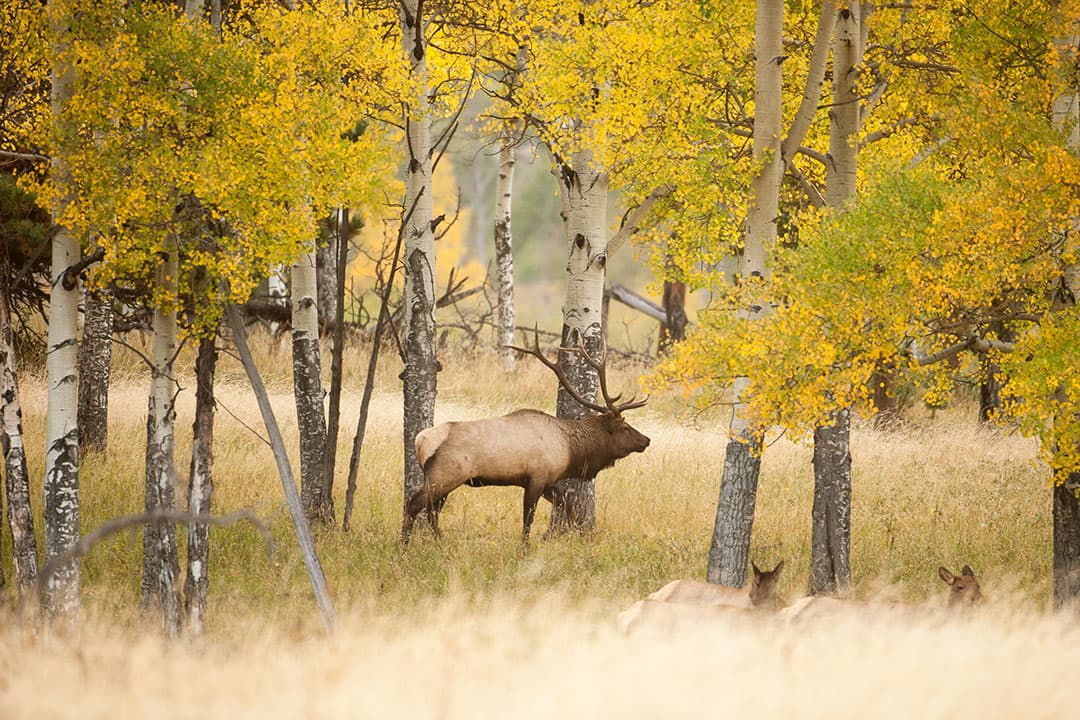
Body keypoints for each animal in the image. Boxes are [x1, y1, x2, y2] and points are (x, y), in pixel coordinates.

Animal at [399, 332, 643, 546]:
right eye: (625, 427)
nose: (646, 440)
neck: (570, 451)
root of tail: (421, 440)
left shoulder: (549, 481)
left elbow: (569, 507)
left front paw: (577, 537)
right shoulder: (536, 477)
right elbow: (528, 520)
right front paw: (524, 549)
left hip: (446, 479)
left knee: (432, 511)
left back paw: (440, 543)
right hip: (444, 474)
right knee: (415, 505)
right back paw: (402, 546)